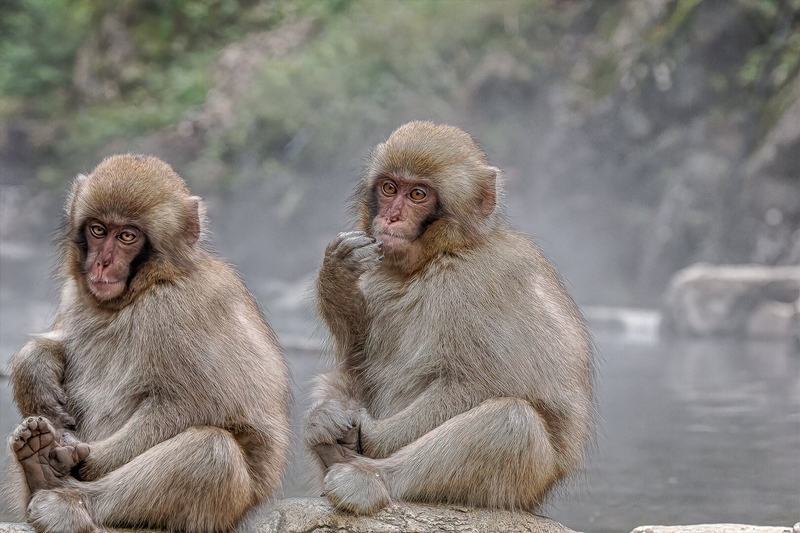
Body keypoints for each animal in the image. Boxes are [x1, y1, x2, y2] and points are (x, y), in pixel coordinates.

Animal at [7, 154, 290, 532]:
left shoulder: (180, 308)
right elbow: (63, 341)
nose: (102, 262)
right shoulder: (74, 296)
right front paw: (33, 367)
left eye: (127, 236)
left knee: (212, 452)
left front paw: (89, 459)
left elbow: (195, 403)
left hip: (224, 510)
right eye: (98, 230)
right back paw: (38, 466)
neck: (144, 288)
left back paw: (68, 497)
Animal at [304, 121, 592, 516]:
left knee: (512, 423)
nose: (390, 218)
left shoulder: (483, 283)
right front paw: (337, 271)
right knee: (338, 378)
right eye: (390, 188)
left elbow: (480, 382)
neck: (440, 254)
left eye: (418, 194)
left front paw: (373, 435)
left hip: (524, 486)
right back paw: (327, 438)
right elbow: (356, 359)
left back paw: (367, 478)